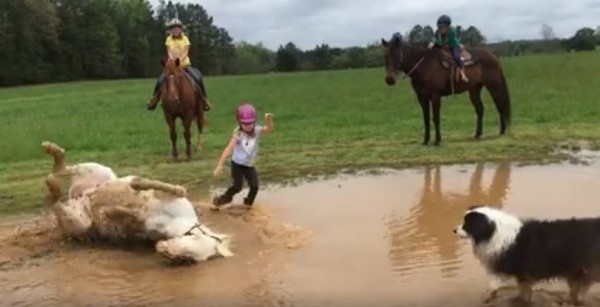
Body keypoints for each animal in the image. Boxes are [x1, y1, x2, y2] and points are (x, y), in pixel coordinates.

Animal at [41, 142, 233, 264]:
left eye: (188, 259)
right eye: (195, 240)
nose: (163, 251)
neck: (175, 222)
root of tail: (76, 195)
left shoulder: (141, 227)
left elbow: (125, 217)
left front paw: (114, 213)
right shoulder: (167, 196)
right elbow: (160, 187)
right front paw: (137, 186)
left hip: (77, 221)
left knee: (56, 197)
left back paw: (55, 188)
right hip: (96, 170)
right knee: (62, 168)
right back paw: (51, 148)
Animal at [382, 33, 512, 146]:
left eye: (397, 55)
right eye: (386, 56)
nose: (389, 79)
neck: (424, 66)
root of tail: (492, 54)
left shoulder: (435, 96)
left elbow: (436, 118)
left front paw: (437, 141)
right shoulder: (422, 98)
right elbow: (426, 119)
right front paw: (426, 140)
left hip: (494, 86)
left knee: (500, 105)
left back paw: (502, 131)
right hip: (474, 89)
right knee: (480, 109)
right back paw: (478, 134)